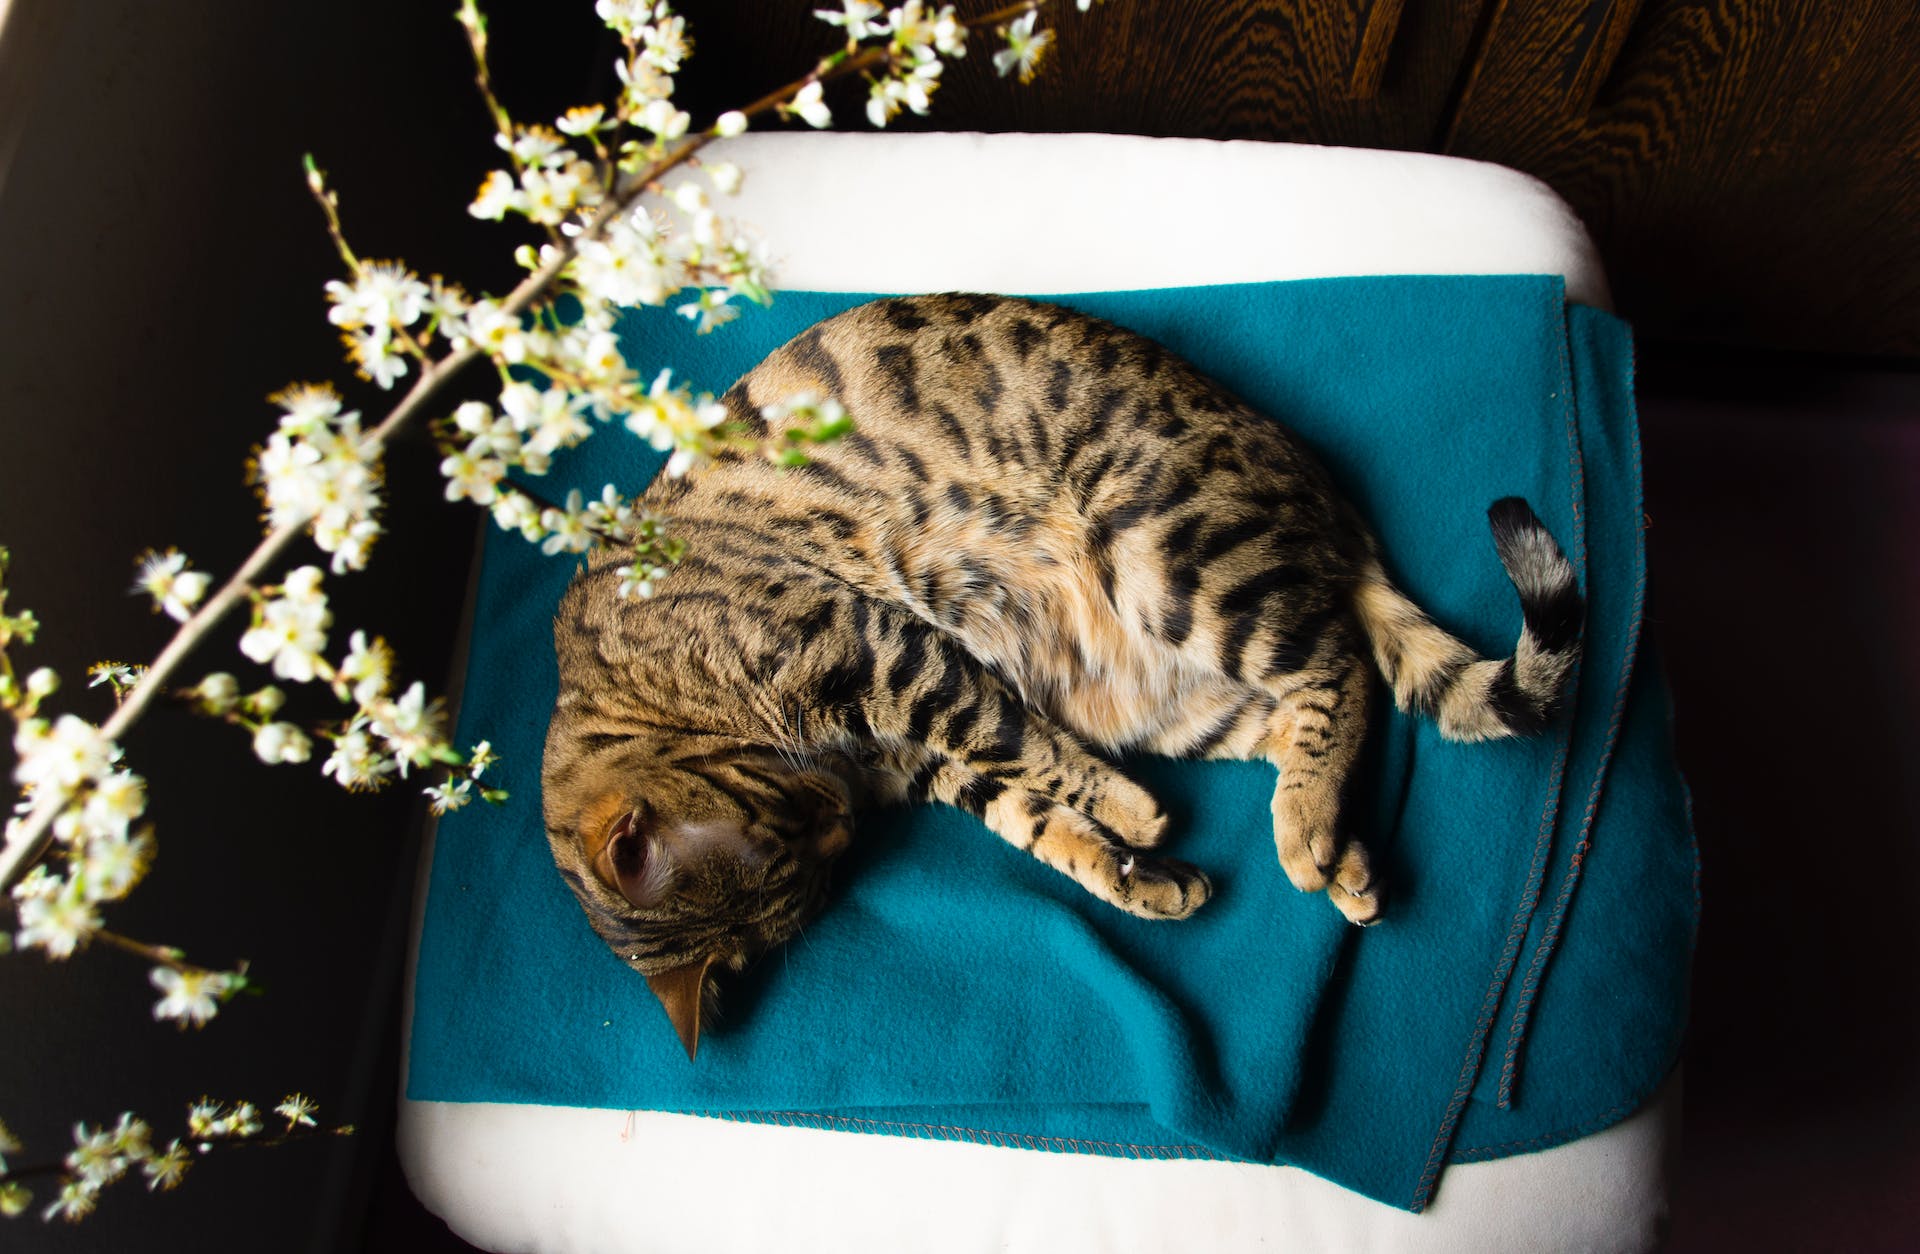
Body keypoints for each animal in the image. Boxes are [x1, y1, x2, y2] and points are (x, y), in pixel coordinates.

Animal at [549, 291, 1582, 1060]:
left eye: (795, 828)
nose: (842, 817)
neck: (629, 694)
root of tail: (1328, 500)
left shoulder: (871, 648)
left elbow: (1006, 733)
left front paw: (1136, 815)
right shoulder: (927, 760)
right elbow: (1035, 817)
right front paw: (1140, 872)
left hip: (1168, 555)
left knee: (1342, 666)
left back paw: (1303, 834)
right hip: (1166, 696)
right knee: (1299, 710)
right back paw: (1343, 857)